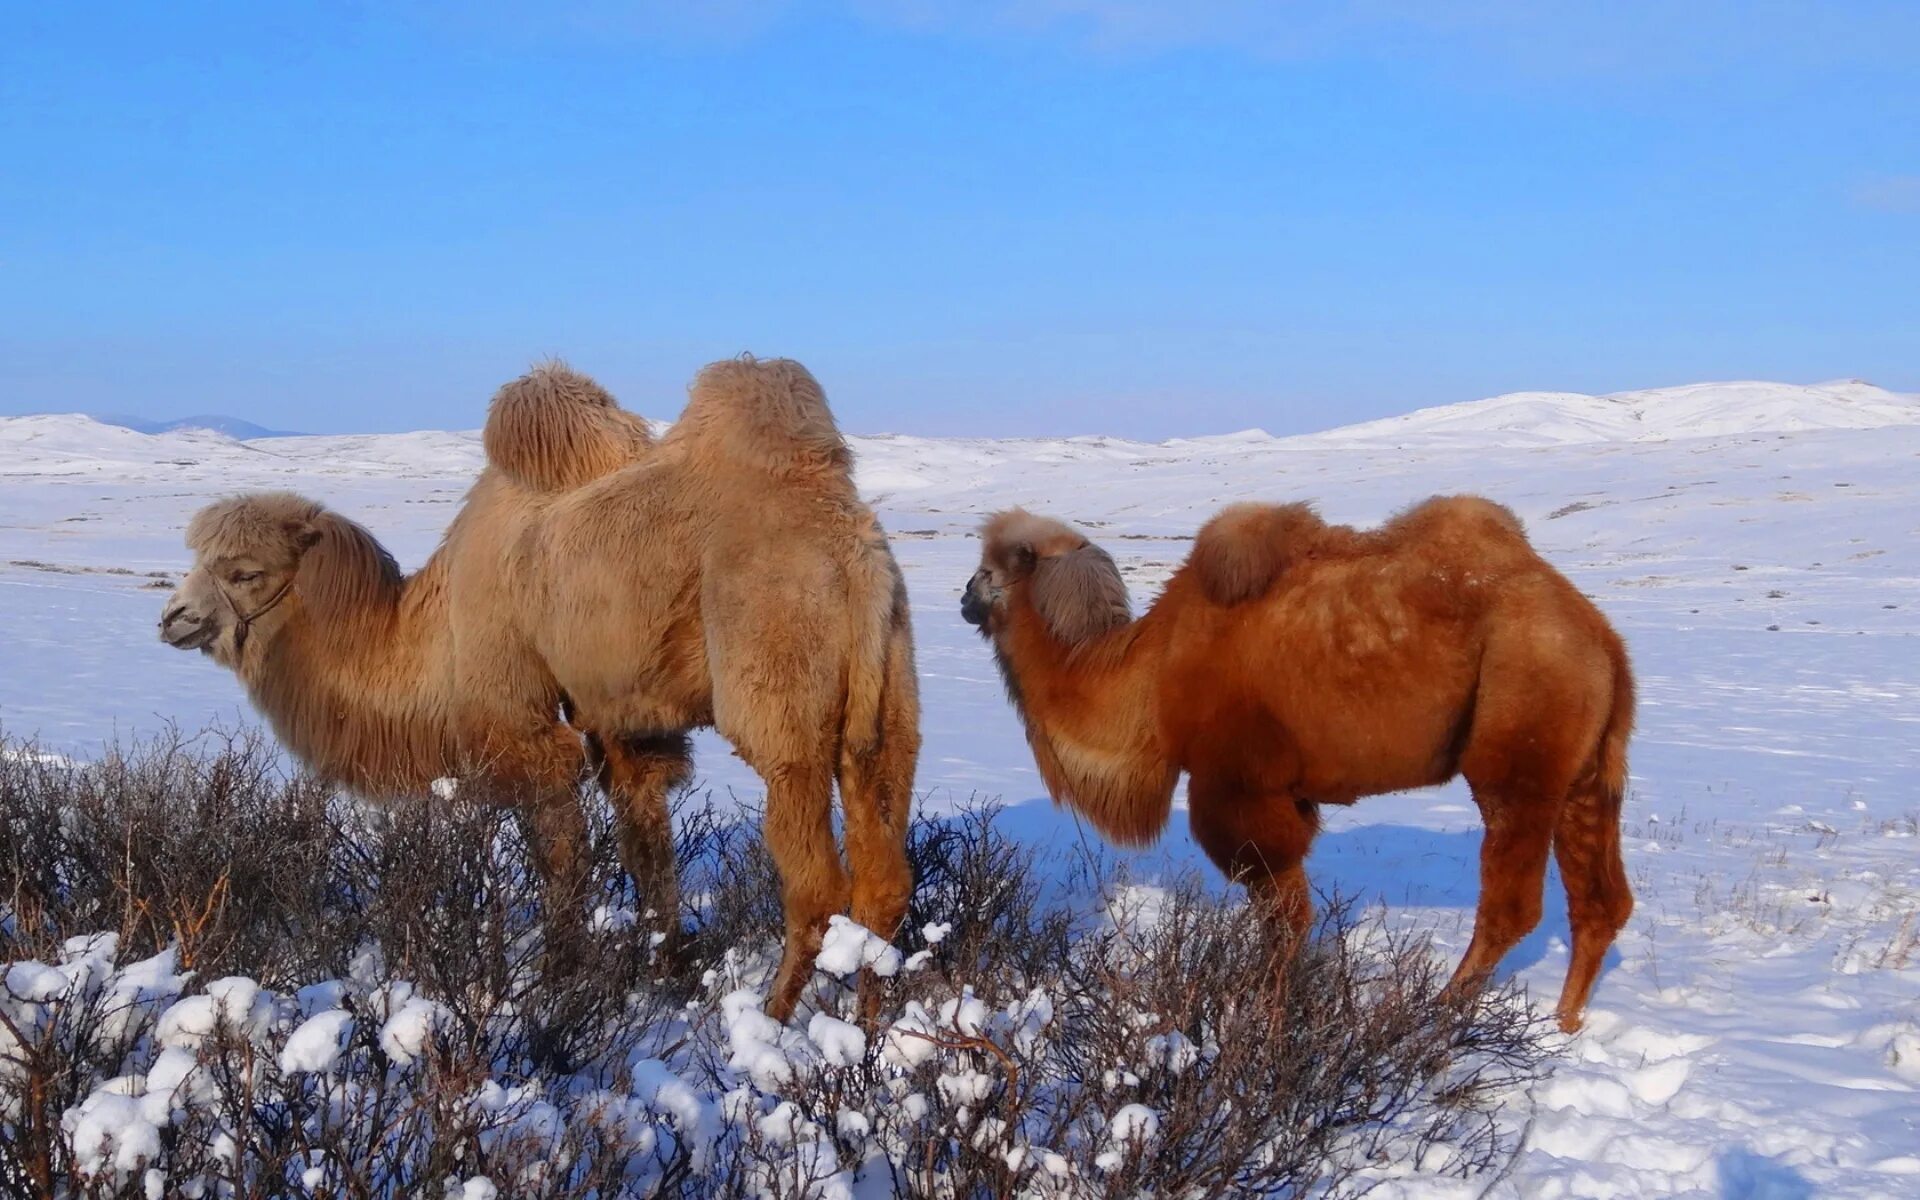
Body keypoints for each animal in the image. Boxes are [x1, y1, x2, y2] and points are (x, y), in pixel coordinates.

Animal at [157, 357, 921, 1021]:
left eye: (245, 572)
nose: (174, 617)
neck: (432, 630)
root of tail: (852, 554)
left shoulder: (519, 720)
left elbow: (559, 858)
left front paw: (557, 980)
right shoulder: (622, 721)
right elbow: (646, 848)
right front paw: (661, 973)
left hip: (780, 694)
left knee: (815, 882)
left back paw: (772, 1023)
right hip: (887, 699)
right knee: (884, 877)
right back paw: (867, 1025)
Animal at [960, 495, 1635, 1029]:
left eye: (988, 569)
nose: (963, 597)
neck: (1148, 677)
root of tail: (1600, 636)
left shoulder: (1236, 786)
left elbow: (1283, 917)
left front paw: (1266, 1009)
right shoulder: (1291, 793)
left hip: (1520, 734)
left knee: (1513, 902)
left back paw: (1433, 1016)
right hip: (1588, 767)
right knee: (1601, 899)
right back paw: (1564, 1025)